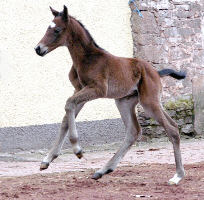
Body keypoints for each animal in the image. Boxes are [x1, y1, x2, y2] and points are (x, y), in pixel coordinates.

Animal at [35, 5, 186, 184]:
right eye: (48, 28)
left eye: (57, 30)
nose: (38, 49)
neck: (87, 58)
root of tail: (156, 72)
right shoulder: (79, 90)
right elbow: (66, 117)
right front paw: (47, 159)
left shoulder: (97, 89)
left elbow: (68, 104)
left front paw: (77, 149)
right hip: (125, 101)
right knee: (135, 131)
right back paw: (103, 170)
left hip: (149, 102)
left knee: (172, 129)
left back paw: (177, 176)